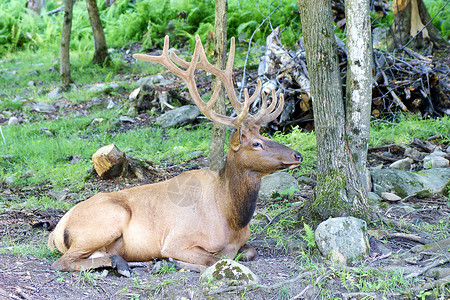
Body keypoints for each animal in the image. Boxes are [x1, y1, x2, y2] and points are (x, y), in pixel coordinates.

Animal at [47, 34, 302, 276]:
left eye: (265, 135)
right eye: (257, 143)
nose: (297, 155)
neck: (232, 218)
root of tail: (56, 231)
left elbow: (249, 252)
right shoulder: (177, 240)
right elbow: (213, 259)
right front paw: (175, 262)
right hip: (106, 221)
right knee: (62, 262)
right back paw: (123, 265)